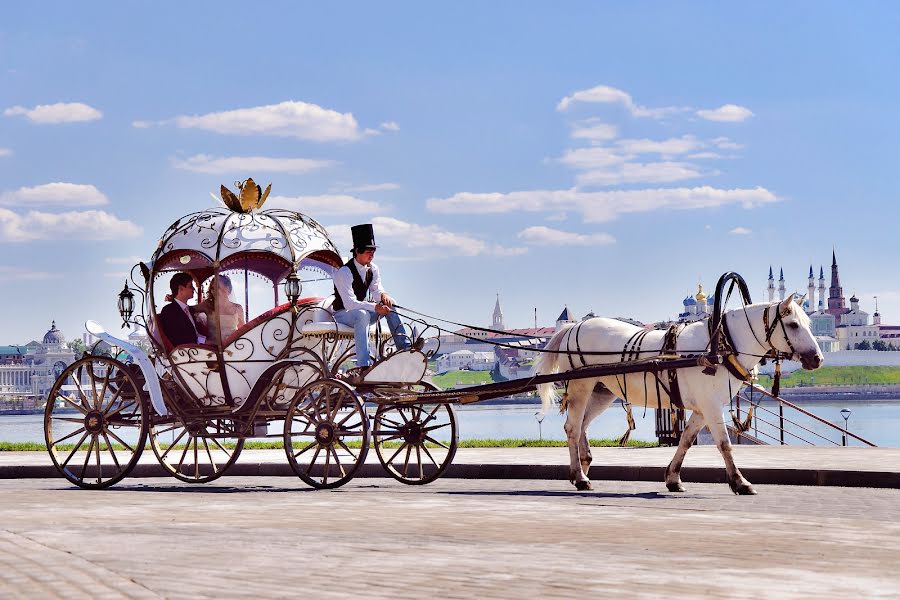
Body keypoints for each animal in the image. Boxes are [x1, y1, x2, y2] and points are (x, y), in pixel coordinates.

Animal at [536, 296, 828, 496]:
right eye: (792, 324)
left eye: (808, 323)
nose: (818, 359)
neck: (719, 347)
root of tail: (573, 326)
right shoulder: (711, 406)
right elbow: (724, 444)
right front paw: (740, 482)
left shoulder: (702, 409)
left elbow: (686, 441)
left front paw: (673, 478)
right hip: (581, 387)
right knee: (573, 428)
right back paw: (579, 476)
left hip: (602, 392)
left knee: (581, 426)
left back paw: (583, 469)